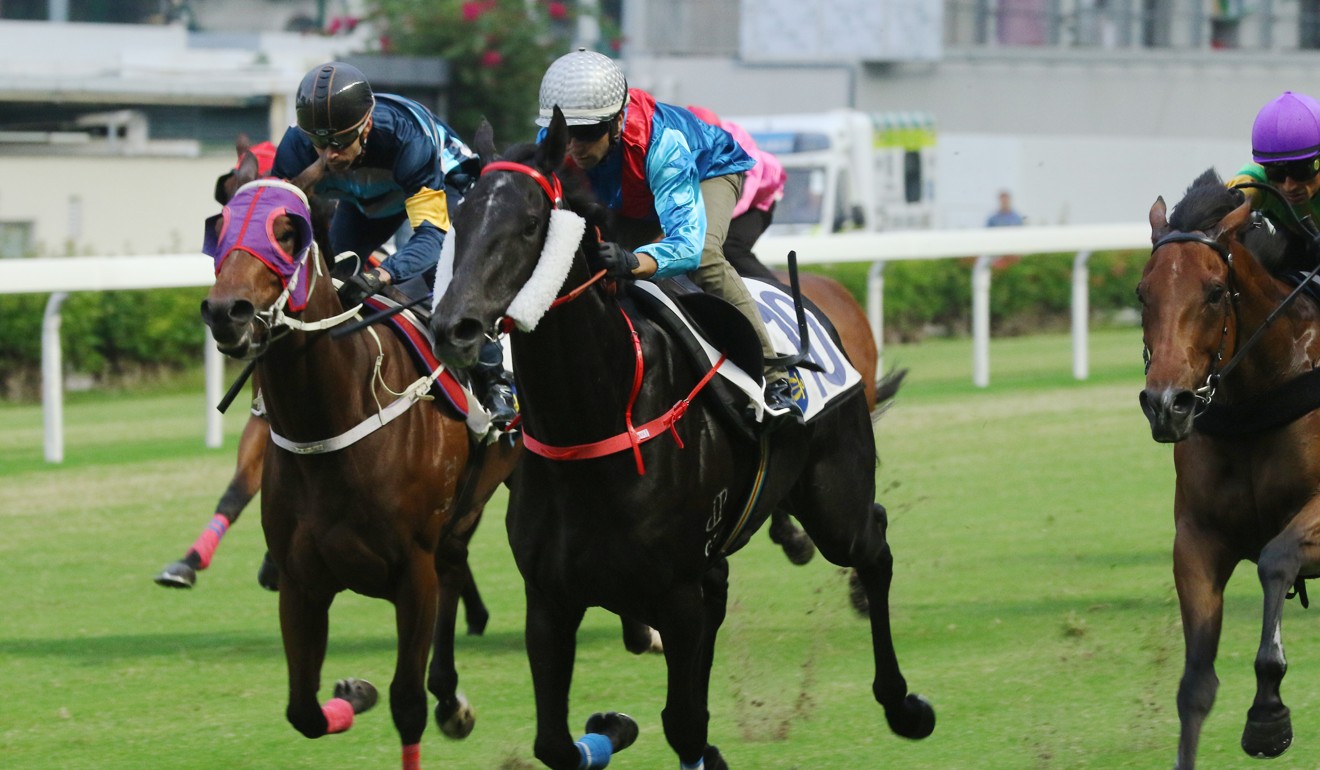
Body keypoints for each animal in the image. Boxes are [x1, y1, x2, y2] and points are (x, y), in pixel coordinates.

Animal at [1135, 170, 1320, 770]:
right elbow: (1195, 686)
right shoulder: (1198, 538)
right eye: (1142, 293)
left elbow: (1275, 558)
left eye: (1215, 292)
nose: (1166, 404)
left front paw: (1267, 712)